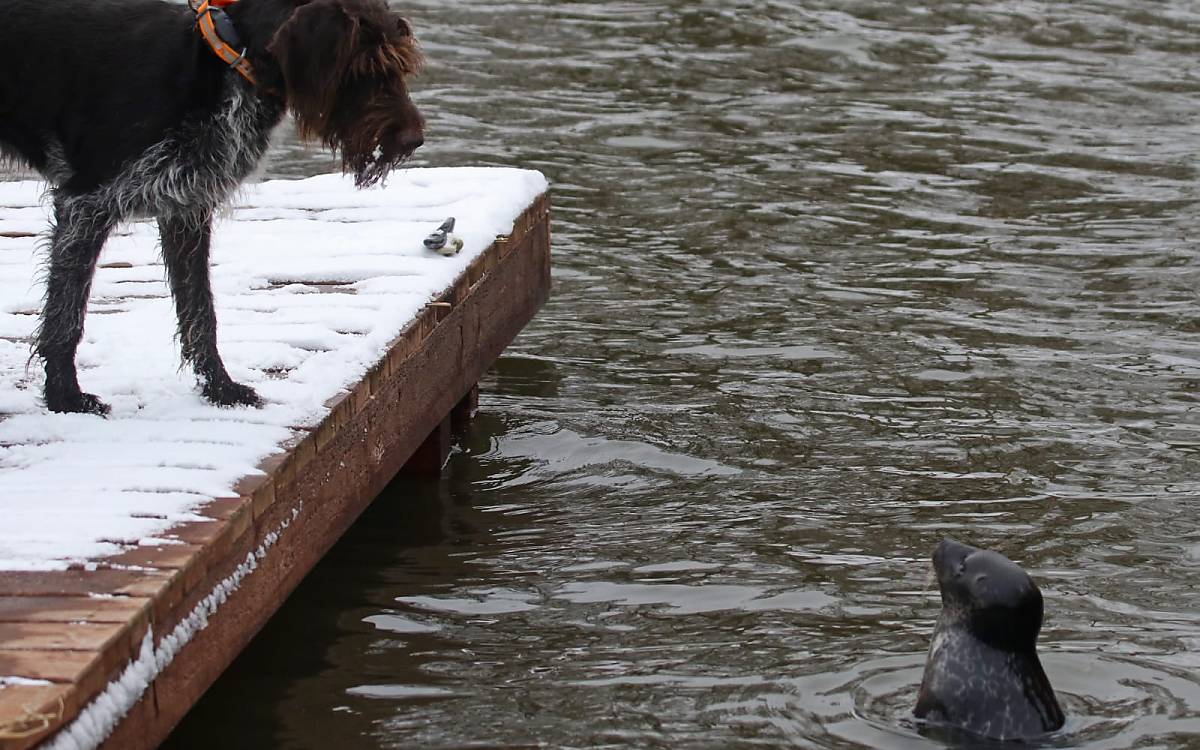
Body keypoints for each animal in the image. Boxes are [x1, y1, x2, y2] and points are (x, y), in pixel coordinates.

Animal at [0, 0, 427, 412]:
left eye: (401, 64)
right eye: (366, 66)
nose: (413, 141)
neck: (228, 67)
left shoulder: (185, 209)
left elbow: (201, 311)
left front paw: (221, 388)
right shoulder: (85, 205)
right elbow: (66, 317)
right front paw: (65, 397)